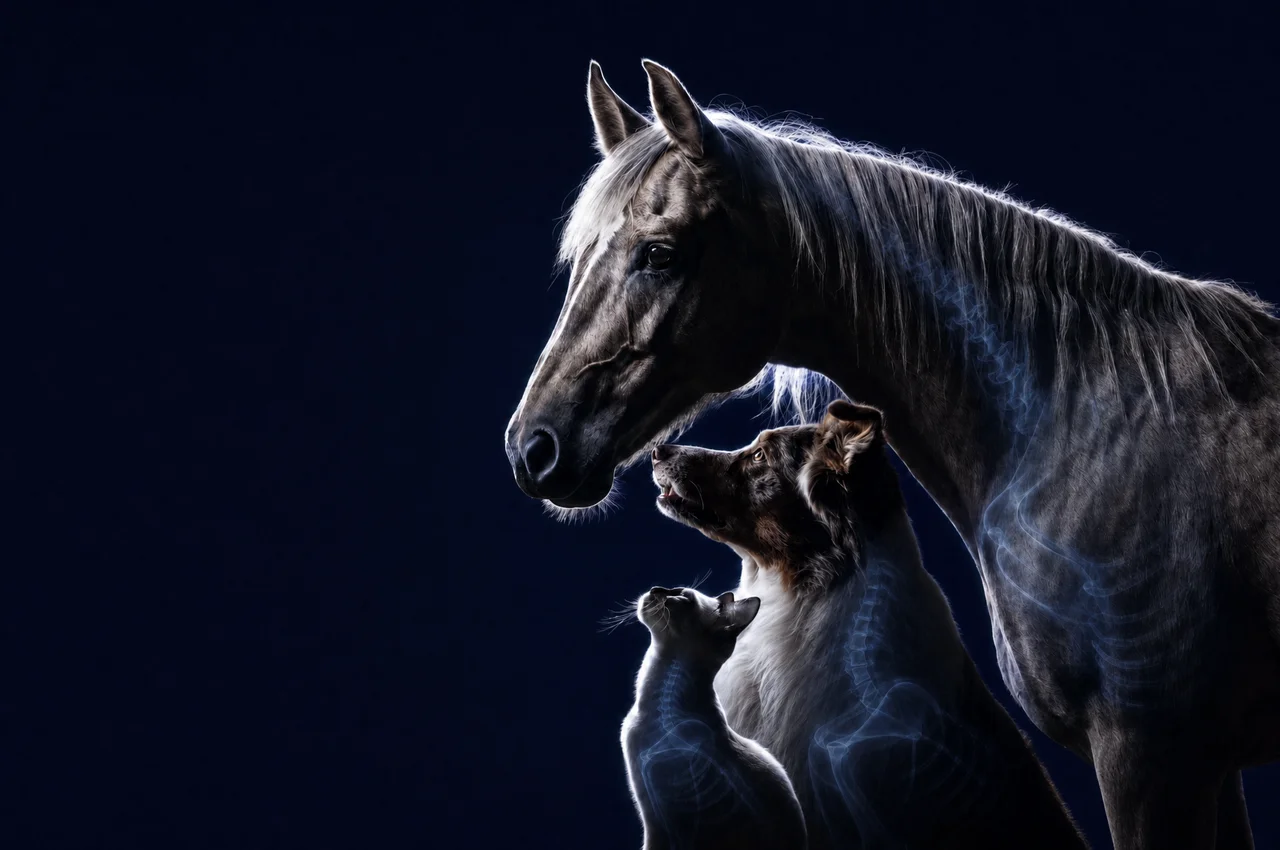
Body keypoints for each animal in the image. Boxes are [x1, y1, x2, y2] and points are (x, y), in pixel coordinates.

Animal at [504, 59, 1280, 850]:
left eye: (658, 254)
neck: (1087, 432)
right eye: (578, 259)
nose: (532, 447)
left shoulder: (1151, 757)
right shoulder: (1199, 768)